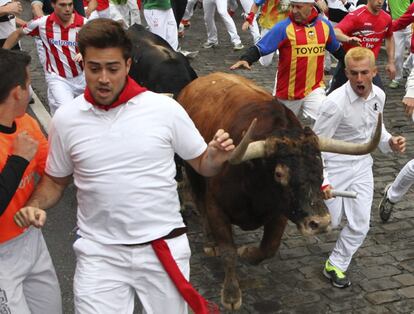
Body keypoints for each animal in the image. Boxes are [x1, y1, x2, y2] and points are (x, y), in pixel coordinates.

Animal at [176, 72, 380, 310]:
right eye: (279, 174)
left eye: (321, 166)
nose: (320, 223)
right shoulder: (216, 206)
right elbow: (228, 252)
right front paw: (231, 295)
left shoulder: (281, 212)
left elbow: (268, 247)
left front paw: (247, 252)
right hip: (193, 171)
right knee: (199, 202)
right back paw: (209, 242)